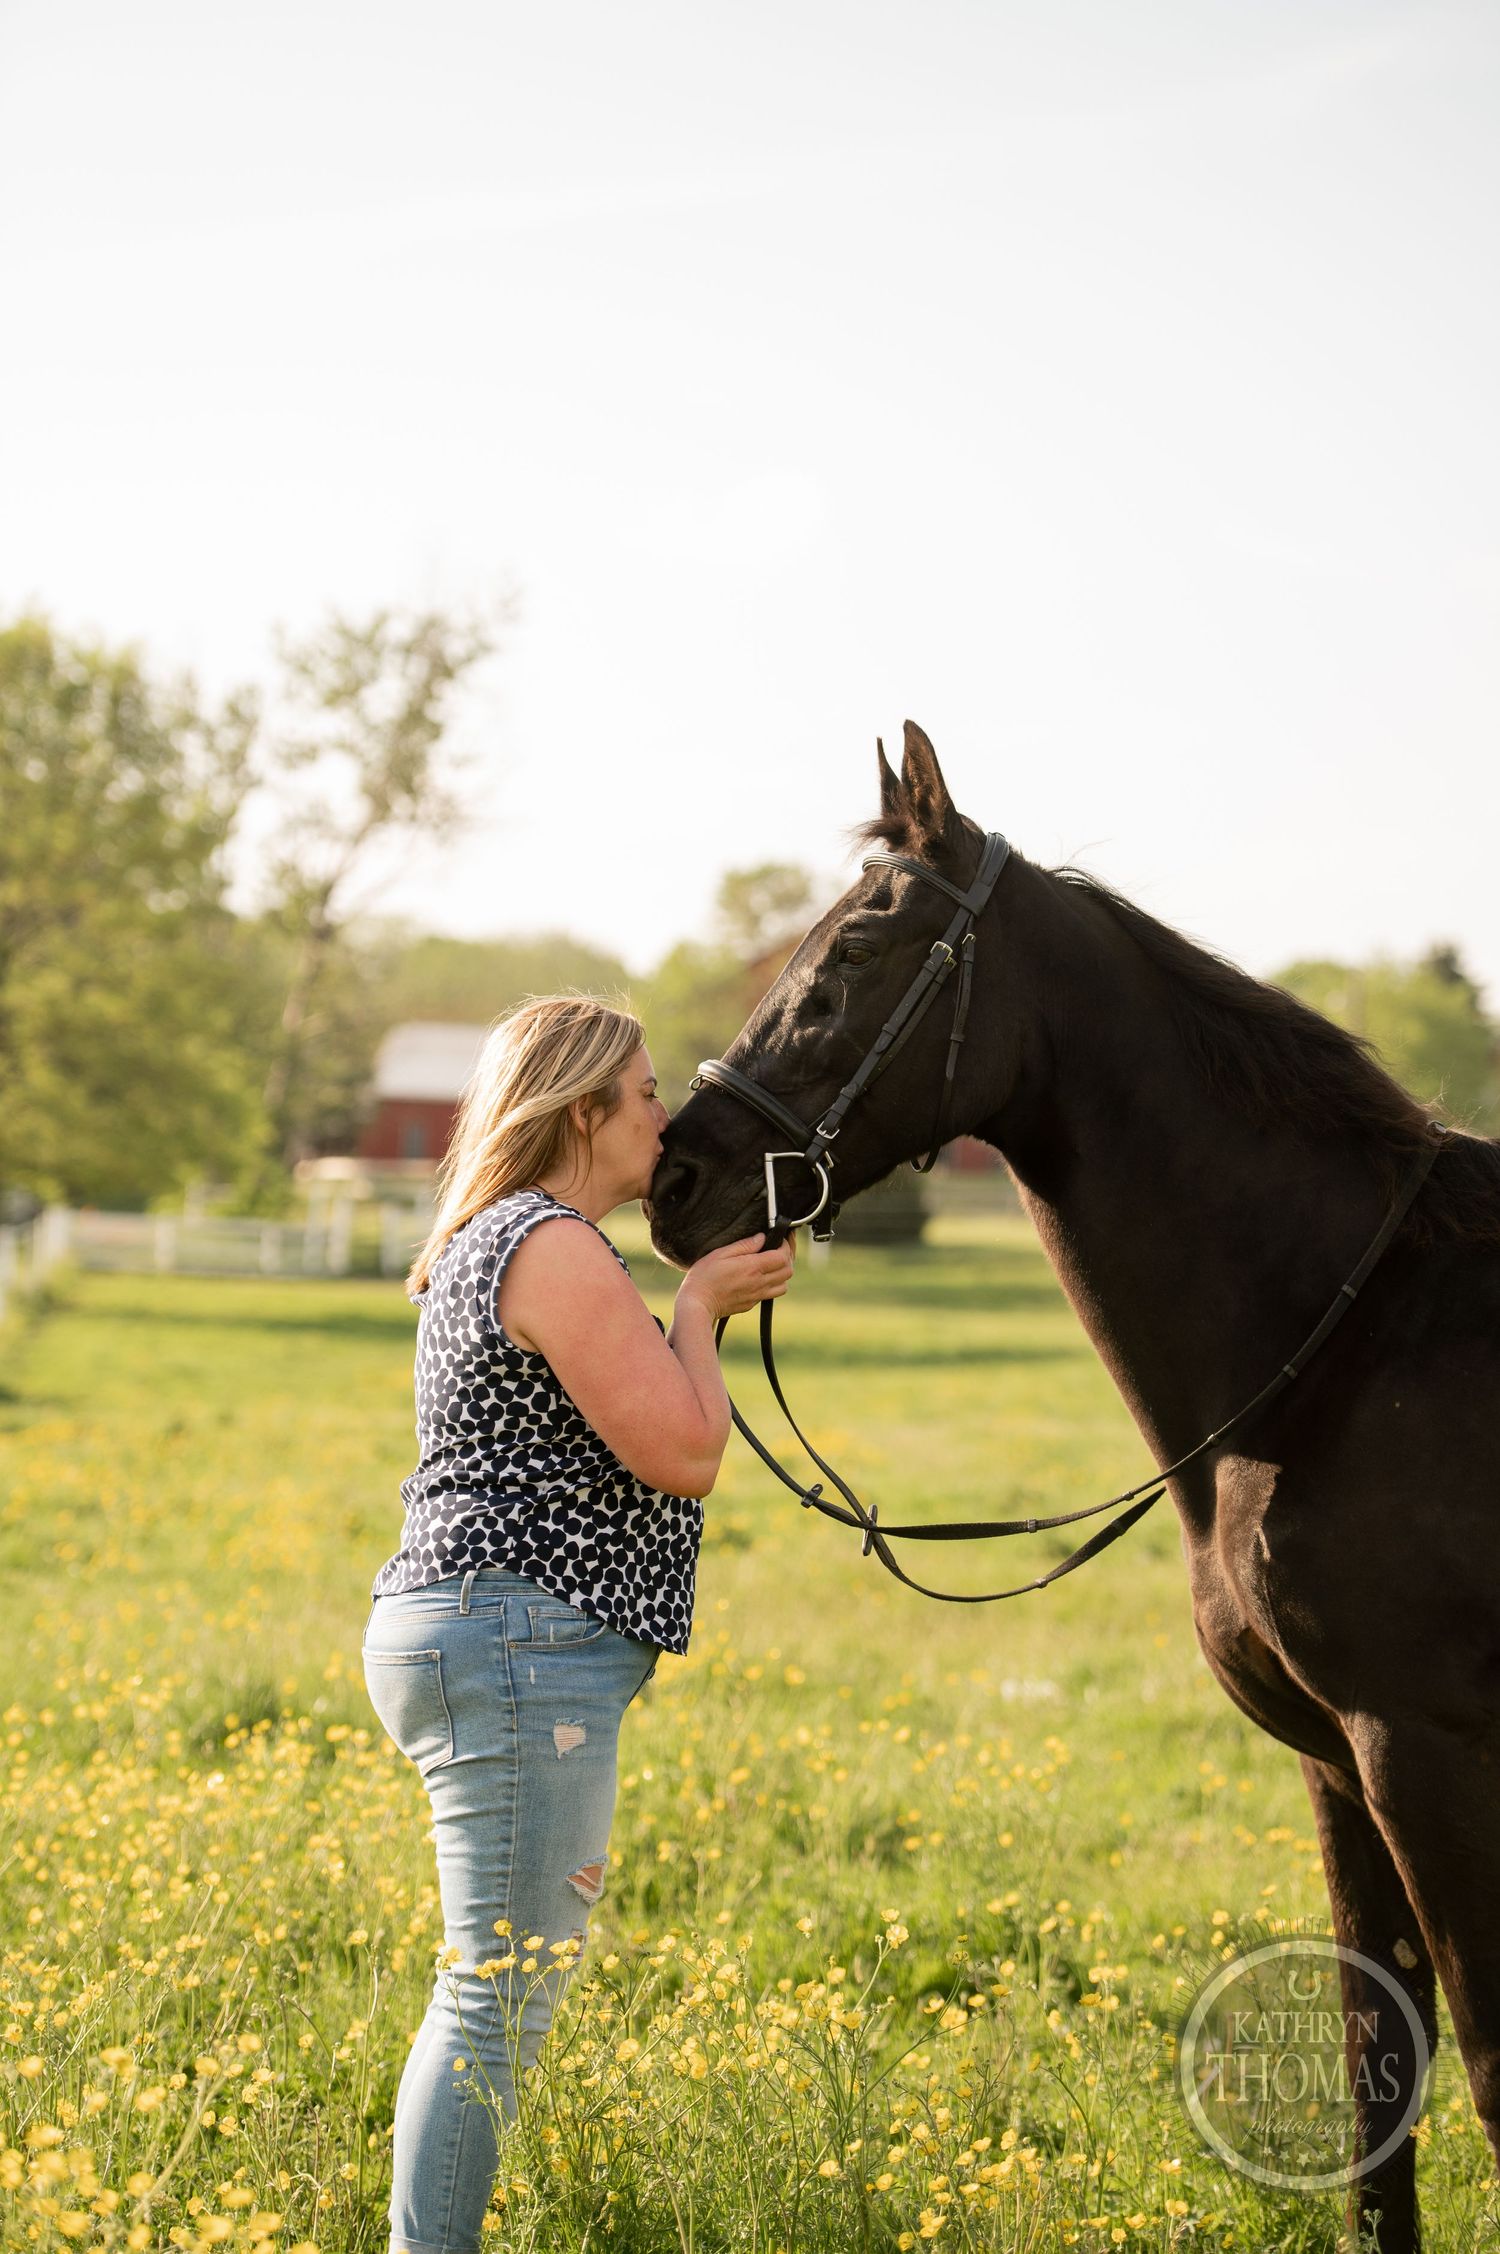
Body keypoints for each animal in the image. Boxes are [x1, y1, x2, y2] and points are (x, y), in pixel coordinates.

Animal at [646, 722, 1500, 2254]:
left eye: (854, 955)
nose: (675, 1179)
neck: (1356, 1344)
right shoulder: (1344, 1763)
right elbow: (1377, 2070)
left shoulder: (1430, 1752)